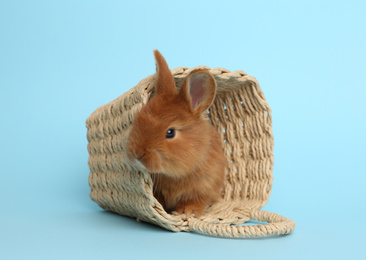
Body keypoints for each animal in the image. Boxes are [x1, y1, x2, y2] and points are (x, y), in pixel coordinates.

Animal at [127, 49, 227, 216]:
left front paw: (188, 211)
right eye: (138, 118)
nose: (137, 153)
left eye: (170, 132)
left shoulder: (204, 187)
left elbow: (196, 200)